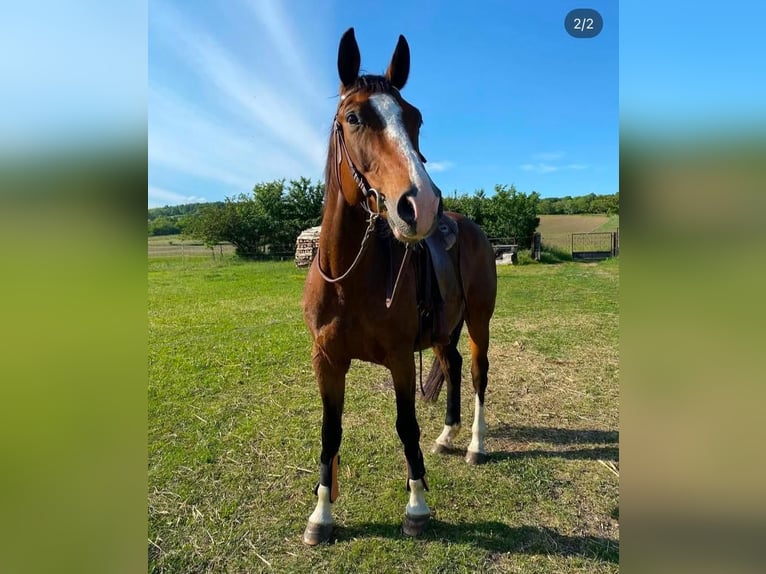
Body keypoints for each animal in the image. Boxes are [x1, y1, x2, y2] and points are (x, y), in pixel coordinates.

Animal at [300, 28, 498, 548]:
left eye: (415, 118)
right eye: (353, 118)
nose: (421, 205)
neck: (349, 278)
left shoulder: (399, 359)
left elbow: (406, 426)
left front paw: (417, 506)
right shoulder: (327, 360)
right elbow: (330, 432)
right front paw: (321, 515)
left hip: (479, 322)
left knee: (477, 374)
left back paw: (475, 444)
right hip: (445, 331)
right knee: (451, 366)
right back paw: (447, 436)